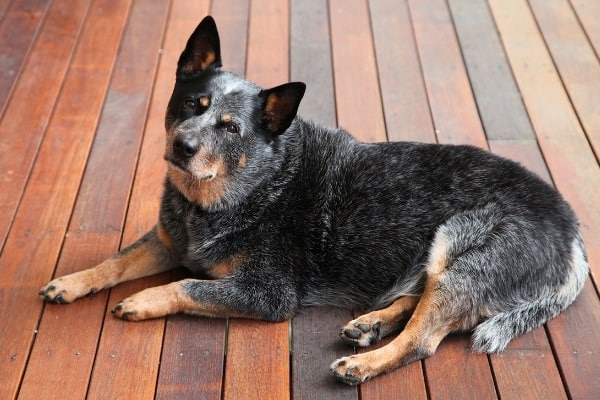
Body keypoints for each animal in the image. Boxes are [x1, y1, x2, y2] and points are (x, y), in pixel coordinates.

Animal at [38, 15, 592, 384]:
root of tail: (573, 229)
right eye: (192, 104)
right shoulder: (170, 241)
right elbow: (115, 261)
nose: (183, 146)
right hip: (440, 263)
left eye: (230, 127)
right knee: (418, 304)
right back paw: (370, 324)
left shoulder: (267, 293)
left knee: (423, 340)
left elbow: (188, 286)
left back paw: (362, 363)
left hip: (457, 244)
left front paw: (143, 299)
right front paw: (72, 282)